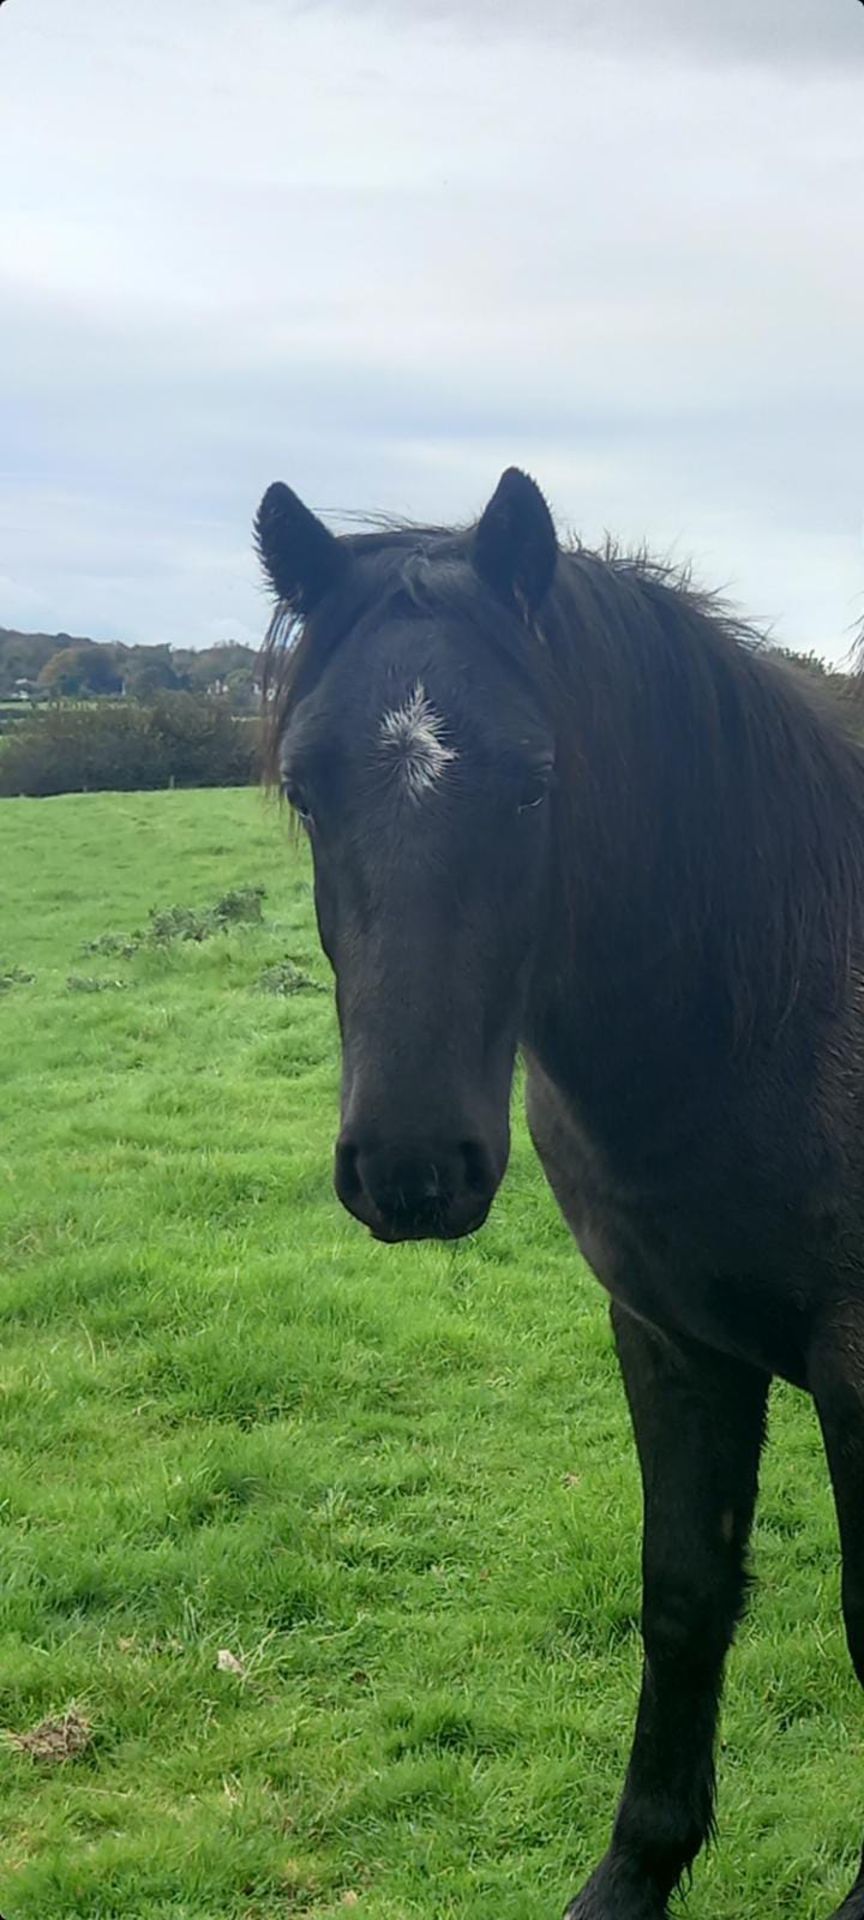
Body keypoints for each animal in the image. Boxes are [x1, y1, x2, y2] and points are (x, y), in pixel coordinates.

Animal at [253, 468, 864, 1920]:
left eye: (536, 786)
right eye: (306, 788)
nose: (412, 1165)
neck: (779, 1004)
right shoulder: (670, 1335)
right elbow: (685, 1592)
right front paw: (638, 1869)